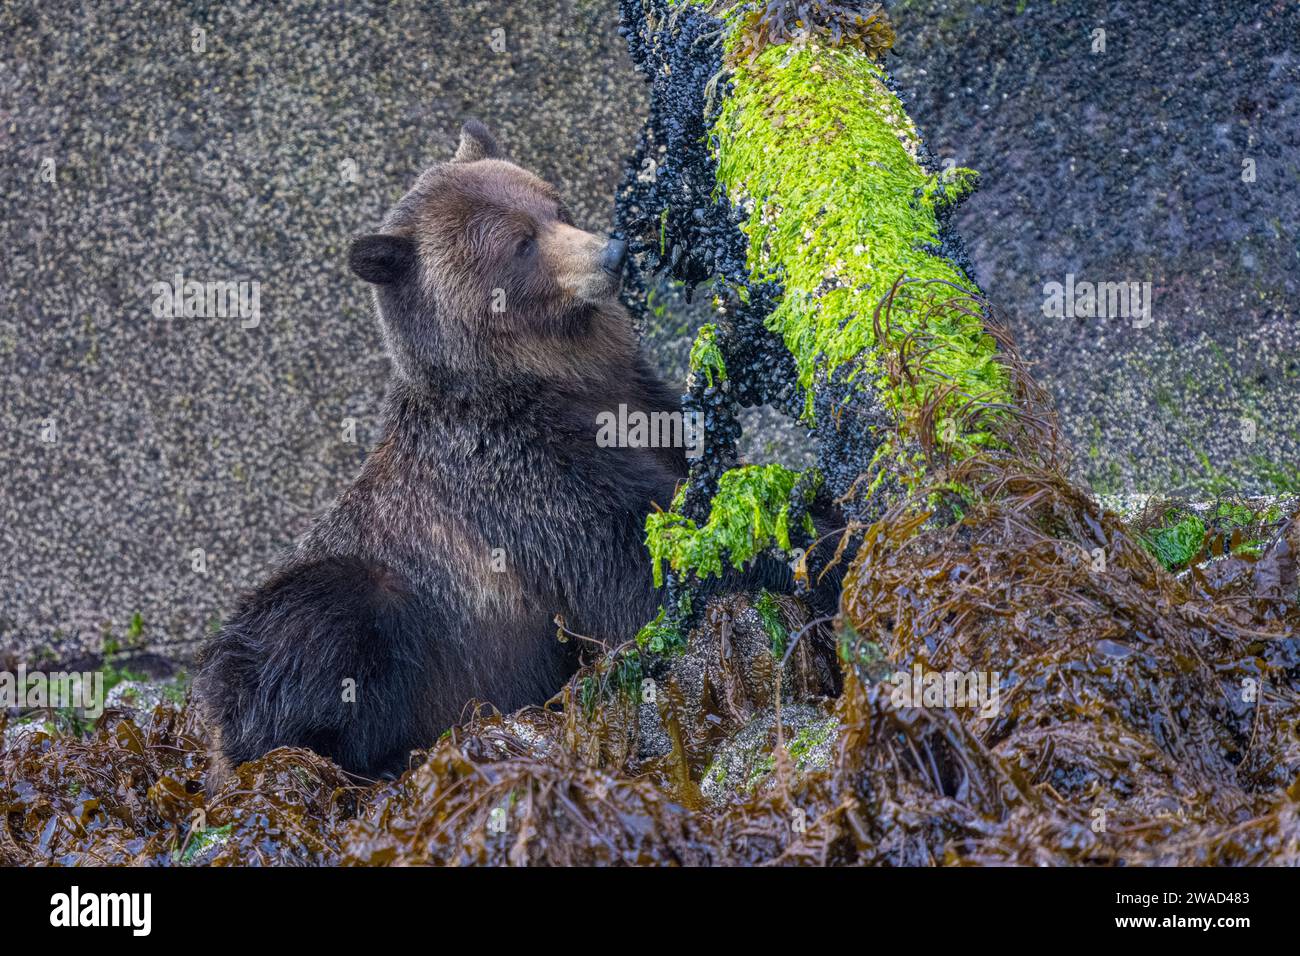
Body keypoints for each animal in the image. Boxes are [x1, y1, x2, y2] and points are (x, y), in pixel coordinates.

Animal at [192, 121, 691, 780]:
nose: (611, 253)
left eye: (555, 206)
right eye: (520, 244)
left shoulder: (639, 402)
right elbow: (627, 556)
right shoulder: (521, 479)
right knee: (319, 622)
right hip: (372, 606)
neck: (561, 378)